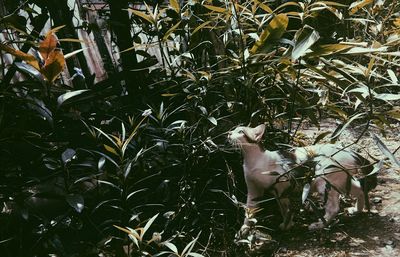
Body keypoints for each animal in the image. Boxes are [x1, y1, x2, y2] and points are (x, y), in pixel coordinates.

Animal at [228, 123, 378, 229]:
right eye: (234, 129)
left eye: (240, 132)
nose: (229, 132)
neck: (253, 161)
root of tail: (351, 152)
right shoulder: (253, 190)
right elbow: (249, 211)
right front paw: (243, 231)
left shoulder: (282, 188)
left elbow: (286, 210)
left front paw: (287, 226)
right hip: (341, 180)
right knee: (360, 189)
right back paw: (357, 210)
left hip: (324, 181)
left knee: (334, 208)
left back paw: (320, 225)